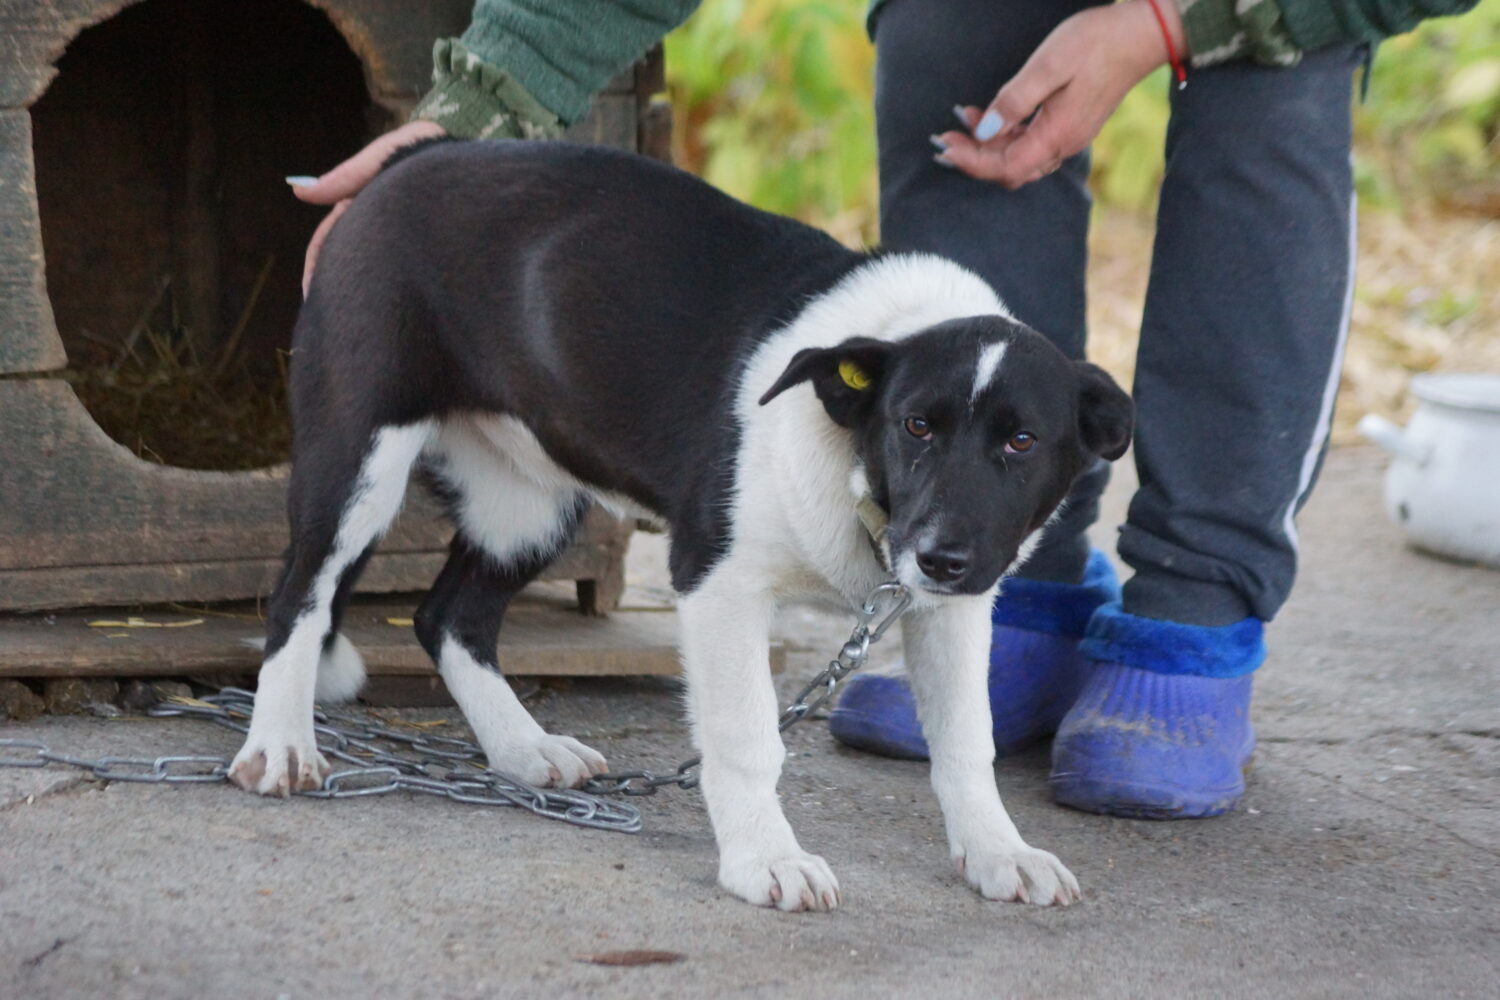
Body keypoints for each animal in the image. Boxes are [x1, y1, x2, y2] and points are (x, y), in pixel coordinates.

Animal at [228, 140, 1128, 917]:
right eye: (915, 426)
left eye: (1021, 442)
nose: (942, 558)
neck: (855, 471)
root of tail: (419, 151)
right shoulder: (719, 582)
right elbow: (747, 738)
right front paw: (766, 859)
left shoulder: (951, 610)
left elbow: (967, 741)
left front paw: (999, 852)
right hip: (361, 454)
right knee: (299, 592)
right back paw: (281, 744)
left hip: (528, 502)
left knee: (448, 616)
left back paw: (522, 748)